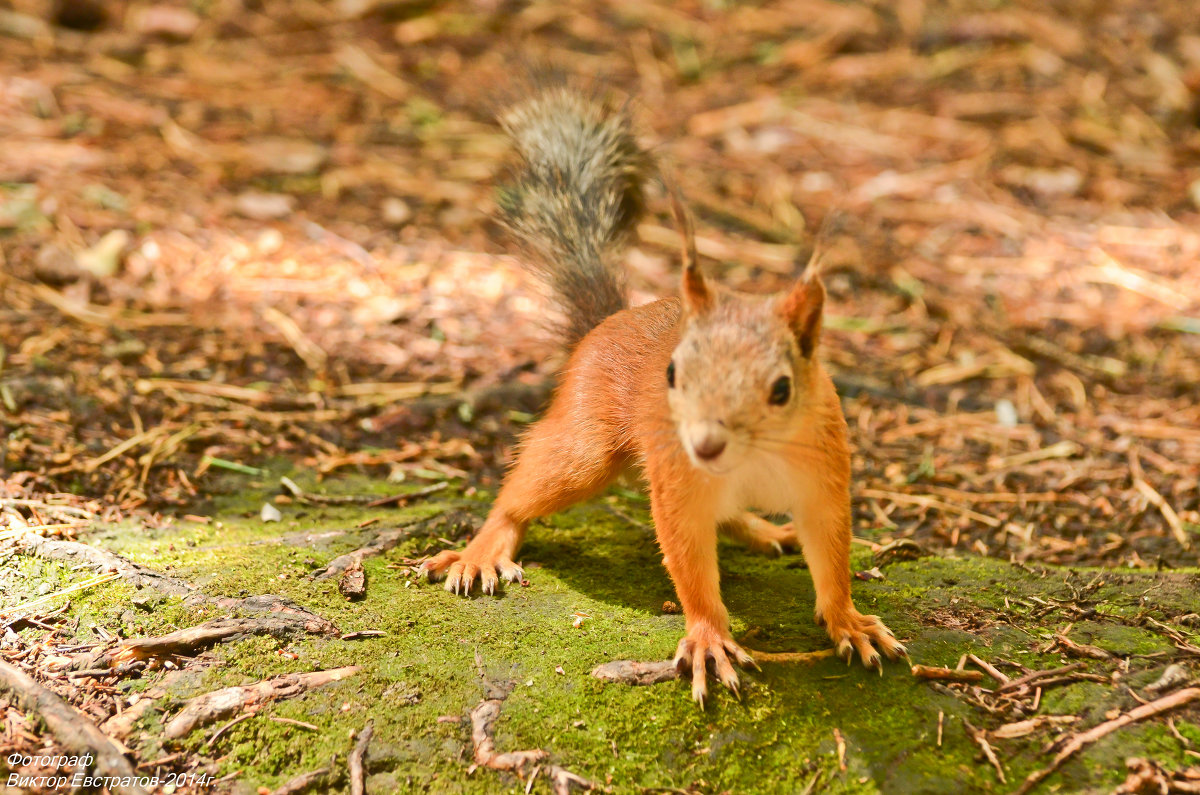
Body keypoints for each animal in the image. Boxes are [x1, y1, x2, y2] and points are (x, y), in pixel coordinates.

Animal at [422, 87, 902, 706]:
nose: (706, 443)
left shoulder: (823, 477)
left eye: (782, 388)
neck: (753, 458)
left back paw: (768, 530)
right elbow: (689, 563)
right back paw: (482, 550)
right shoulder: (678, 482)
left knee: (735, 517)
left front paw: (848, 621)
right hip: (584, 452)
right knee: (519, 493)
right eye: (673, 373)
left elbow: (832, 554)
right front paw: (709, 638)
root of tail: (607, 323)